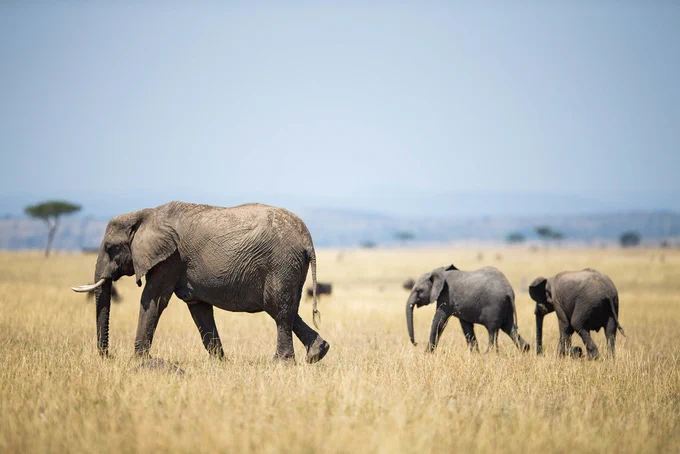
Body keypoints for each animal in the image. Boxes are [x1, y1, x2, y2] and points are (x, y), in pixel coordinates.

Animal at [71, 201, 330, 364]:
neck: (145, 214)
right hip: (290, 267)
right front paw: (220, 363)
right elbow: (199, 308)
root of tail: (307, 239)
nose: (107, 356)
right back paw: (317, 353)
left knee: (279, 310)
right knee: (285, 309)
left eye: (110, 248)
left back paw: (281, 364)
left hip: (281, 263)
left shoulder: (170, 259)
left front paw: (139, 361)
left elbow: (153, 300)